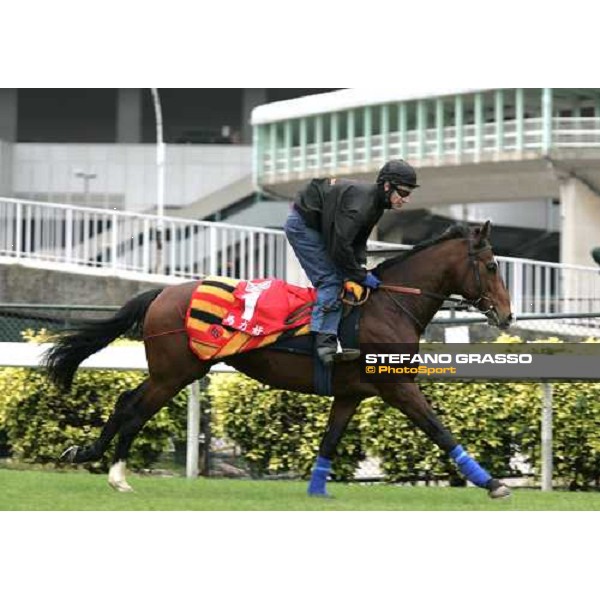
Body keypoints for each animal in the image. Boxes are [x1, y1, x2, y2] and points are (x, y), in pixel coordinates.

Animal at [43, 220, 510, 496]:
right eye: (490, 265)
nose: (507, 315)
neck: (388, 306)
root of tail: (161, 292)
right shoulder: (397, 385)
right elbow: (439, 429)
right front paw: (493, 483)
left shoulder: (351, 393)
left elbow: (330, 440)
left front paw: (317, 490)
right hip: (176, 371)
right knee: (134, 409)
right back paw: (114, 472)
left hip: (173, 370)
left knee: (128, 405)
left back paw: (93, 459)